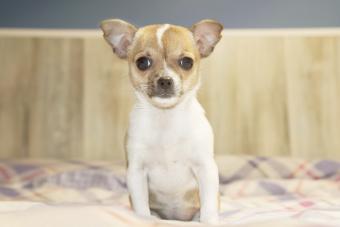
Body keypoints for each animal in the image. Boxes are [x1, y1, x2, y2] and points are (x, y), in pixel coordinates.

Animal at [101, 18, 223, 223]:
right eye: (143, 62)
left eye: (186, 62)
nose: (165, 80)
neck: (166, 118)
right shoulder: (136, 172)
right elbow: (141, 205)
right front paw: (144, 219)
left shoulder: (206, 168)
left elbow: (209, 203)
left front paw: (209, 221)